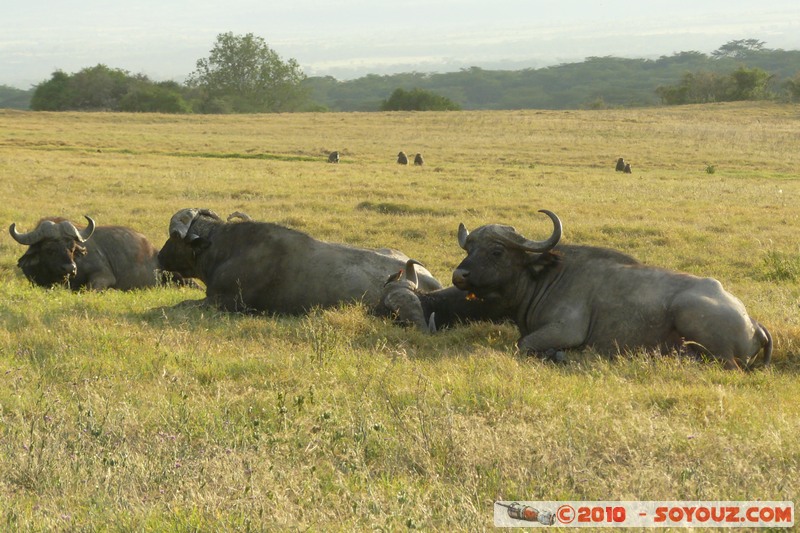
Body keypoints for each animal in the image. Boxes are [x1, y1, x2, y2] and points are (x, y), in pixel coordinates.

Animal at [450, 210, 768, 368]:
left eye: (497, 252)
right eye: (470, 248)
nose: (459, 275)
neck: (545, 278)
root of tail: (753, 323)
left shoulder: (565, 330)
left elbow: (523, 345)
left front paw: (557, 355)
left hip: (691, 316)